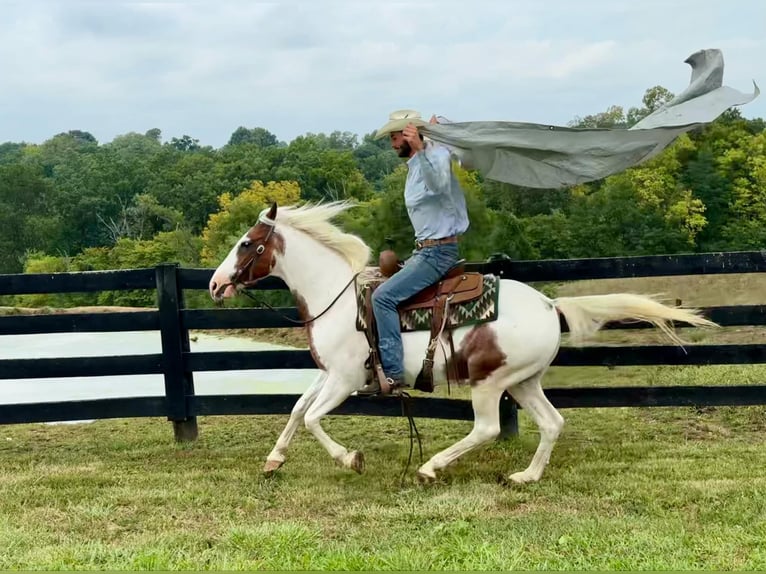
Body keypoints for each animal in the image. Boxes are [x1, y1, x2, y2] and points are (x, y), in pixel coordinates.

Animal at [208, 200, 717, 484]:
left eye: (247, 243)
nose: (215, 284)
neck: (335, 296)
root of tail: (549, 304)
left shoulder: (346, 379)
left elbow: (314, 418)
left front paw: (350, 459)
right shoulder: (328, 374)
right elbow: (297, 409)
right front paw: (274, 460)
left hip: (489, 382)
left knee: (487, 429)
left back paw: (430, 467)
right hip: (523, 381)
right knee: (552, 423)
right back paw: (526, 476)